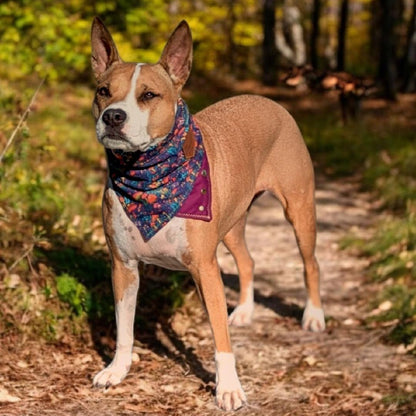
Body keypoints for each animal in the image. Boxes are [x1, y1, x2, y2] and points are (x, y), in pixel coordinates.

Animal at [90, 17, 324, 412]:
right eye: (104, 91)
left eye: (149, 95)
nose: (113, 116)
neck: (150, 177)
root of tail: (268, 101)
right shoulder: (123, 266)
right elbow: (124, 328)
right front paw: (117, 370)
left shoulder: (205, 268)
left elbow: (220, 339)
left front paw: (228, 388)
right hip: (231, 225)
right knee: (247, 261)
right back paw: (244, 311)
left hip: (299, 209)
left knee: (311, 263)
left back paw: (314, 316)